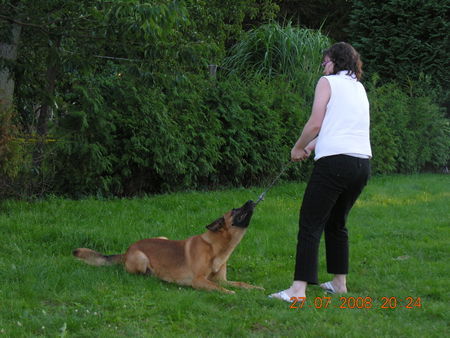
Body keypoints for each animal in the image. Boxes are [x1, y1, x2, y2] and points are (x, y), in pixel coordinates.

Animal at [73, 201, 264, 294]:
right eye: (235, 210)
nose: (251, 200)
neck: (215, 248)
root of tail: (127, 249)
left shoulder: (221, 279)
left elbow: (241, 283)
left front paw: (255, 288)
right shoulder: (199, 281)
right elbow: (218, 288)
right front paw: (230, 293)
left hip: (163, 237)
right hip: (141, 258)